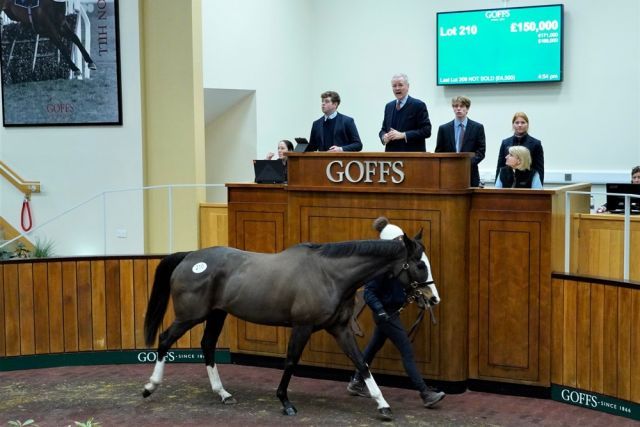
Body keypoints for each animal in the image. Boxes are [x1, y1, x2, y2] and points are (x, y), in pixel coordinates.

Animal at [142, 232, 438, 420]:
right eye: (420, 265)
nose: (433, 298)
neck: (329, 275)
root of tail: (190, 256)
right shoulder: (302, 326)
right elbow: (291, 361)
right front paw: (285, 402)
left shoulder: (340, 329)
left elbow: (361, 363)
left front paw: (383, 405)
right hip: (191, 315)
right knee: (165, 339)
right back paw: (150, 387)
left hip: (216, 314)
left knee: (207, 345)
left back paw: (223, 394)